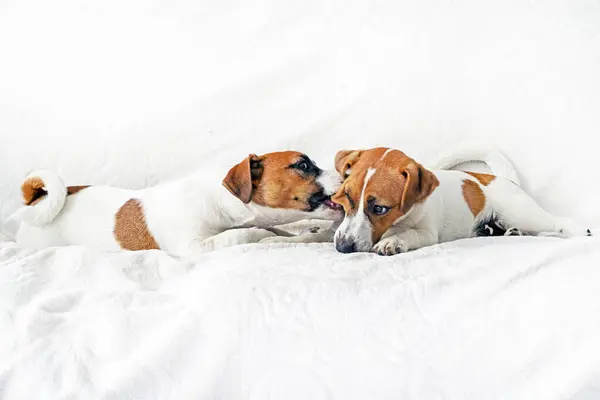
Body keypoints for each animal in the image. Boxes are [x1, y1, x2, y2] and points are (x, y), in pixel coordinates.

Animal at [11, 150, 342, 256]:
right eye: (303, 165)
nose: (344, 172)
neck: (219, 200)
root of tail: (37, 199)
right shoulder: (193, 246)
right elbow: (246, 234)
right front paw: (262, 235)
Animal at [330, 148, 592, 256]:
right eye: (347, 198)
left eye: (379, 208)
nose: (342, 247)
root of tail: (504, 179)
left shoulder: (427, 233)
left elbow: (409, 234)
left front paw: (392, 242)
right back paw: (510, 233)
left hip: (521, 213)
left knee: (558, 222)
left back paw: (582, 232)